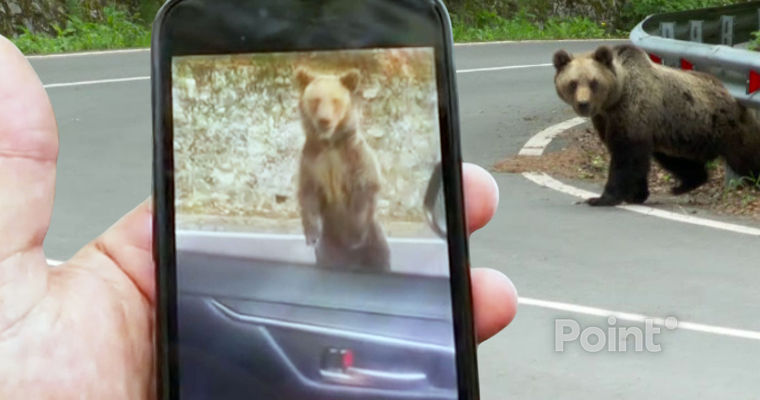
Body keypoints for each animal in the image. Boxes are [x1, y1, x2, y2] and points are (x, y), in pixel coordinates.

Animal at [294, 66, 391, 272]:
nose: (324, 120)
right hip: (328, 247)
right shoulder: (312, 161)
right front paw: (311, 234)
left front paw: (354, 236)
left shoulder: (354, 156)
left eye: (335, 100)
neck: (329, 143)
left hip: (375, 237)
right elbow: (307, 192)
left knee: (380, 256)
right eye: (316, 100)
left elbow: (366, 185)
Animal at [552, 44, 760, 206]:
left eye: (593, 82)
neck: (615, 98)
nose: (583, 103)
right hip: (677, 133)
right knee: (675, 159)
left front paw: (602, 198)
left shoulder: (632, 113)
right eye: (573, 83)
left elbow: (625, 157)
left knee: (747, 156)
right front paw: (636, 194)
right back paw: (683, 185)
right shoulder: (608, 119)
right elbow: (632, 156)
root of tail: (731, 95)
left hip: (727, 127)